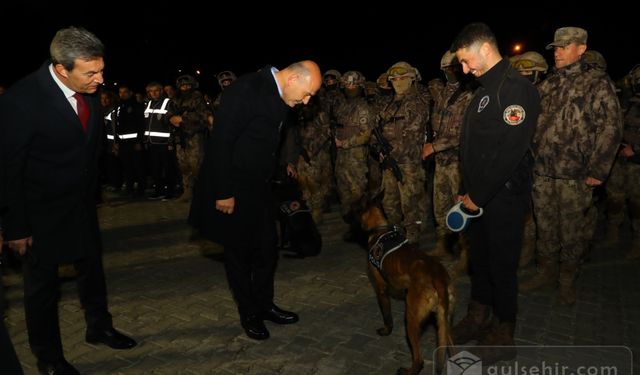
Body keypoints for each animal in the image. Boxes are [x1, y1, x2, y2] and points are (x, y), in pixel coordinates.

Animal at [356, 198, 456, 374]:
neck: (381, 229)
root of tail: (437, 276)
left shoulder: (381, 289)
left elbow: (387, 316)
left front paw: (386, 331)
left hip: (411, 319)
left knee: (419, 359)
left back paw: (409, 370)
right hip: (444, 321)